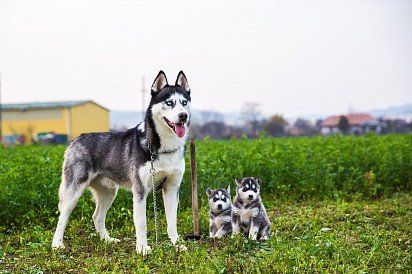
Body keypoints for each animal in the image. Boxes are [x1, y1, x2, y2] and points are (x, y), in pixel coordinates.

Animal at [51, 70, 192, 255]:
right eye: (169, 103)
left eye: (184, 102)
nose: (183, 115)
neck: (162, 148)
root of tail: (76, 140)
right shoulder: (140, 190)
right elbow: (141, 223)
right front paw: (142, 248)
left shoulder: (172, 189)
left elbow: (172, 222)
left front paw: (177, 245)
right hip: (74, 190)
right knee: (63, 215)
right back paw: (57, 244)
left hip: (109, 192)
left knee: (97, 216)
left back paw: (107, 240)